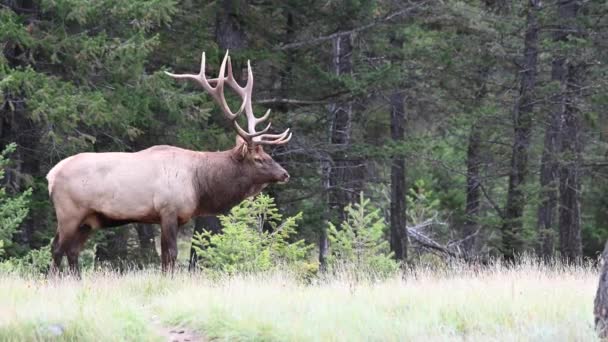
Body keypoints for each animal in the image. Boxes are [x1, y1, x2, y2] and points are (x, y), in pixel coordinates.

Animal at [47, 51, 292, 276]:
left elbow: (166, 256)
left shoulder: (176, 217)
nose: (284, 174)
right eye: (259, 159)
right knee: (57, 247)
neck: (200, 184)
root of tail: (51, 175)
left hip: (88, 220)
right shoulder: (168, 210)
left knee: (73, 251)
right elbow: (171, 254)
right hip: (69, 212)